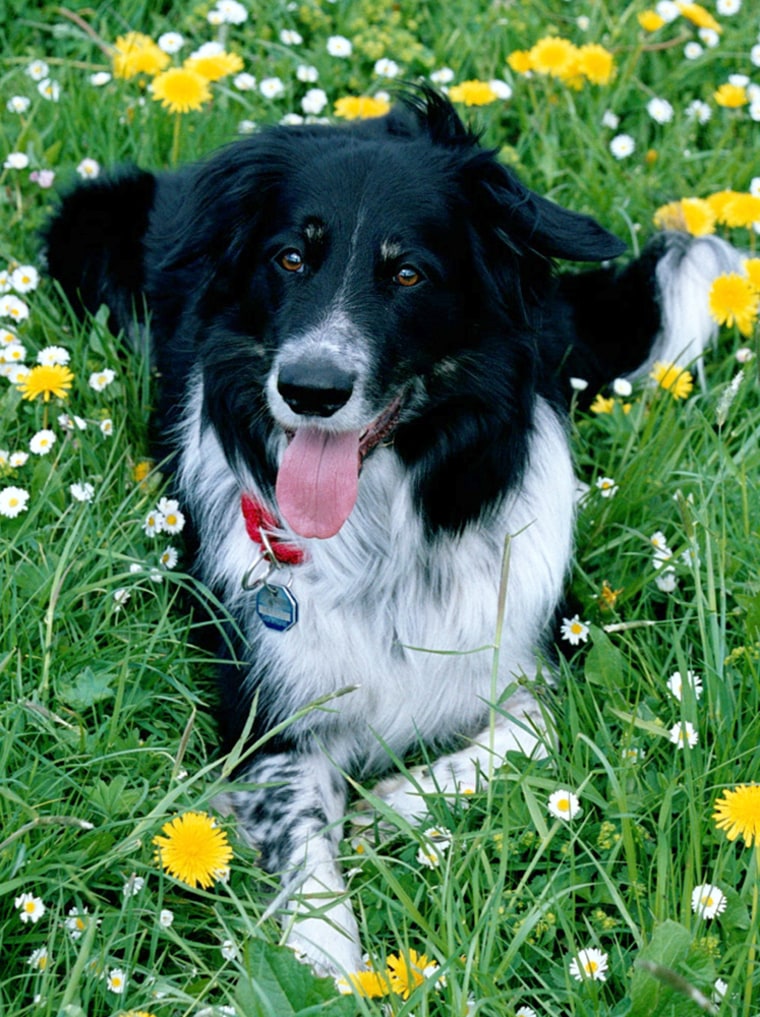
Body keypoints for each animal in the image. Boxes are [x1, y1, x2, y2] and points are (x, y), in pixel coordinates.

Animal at [42, 85, 744, 968]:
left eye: (408, 272)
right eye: (290, 259)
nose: (310, 389)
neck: (383, 537)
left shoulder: (545, 652)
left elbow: (534, 734)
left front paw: (392, 804)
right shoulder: (268, 718)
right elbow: (306, 850)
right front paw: (333, 966)